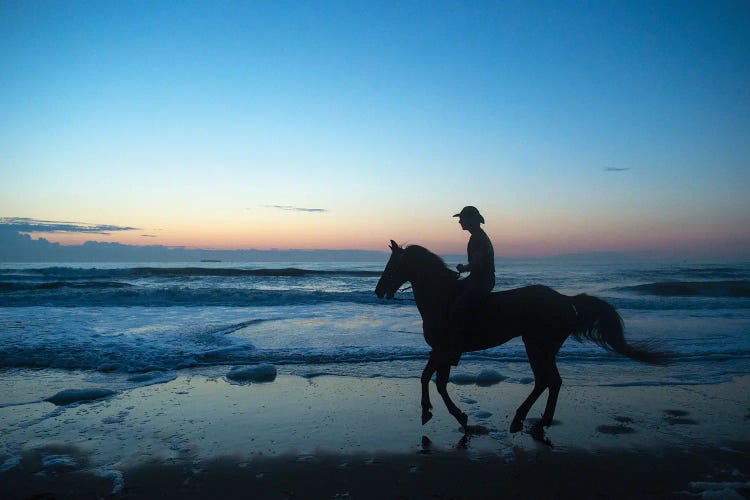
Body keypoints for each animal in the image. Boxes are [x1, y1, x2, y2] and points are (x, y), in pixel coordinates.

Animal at [376, 242, 668, 434]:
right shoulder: (441, 351)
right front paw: (445, 413)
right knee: (548, 382)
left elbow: (434, 381)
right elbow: (432, 379)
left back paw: (530, 420)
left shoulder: (444, 350)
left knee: (548, 381)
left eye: (393, 264)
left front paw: (441, 413)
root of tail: (566, 301)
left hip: (538, 347)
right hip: (540, 347)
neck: (442, 298)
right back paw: (532, 420)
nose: (378, 290)